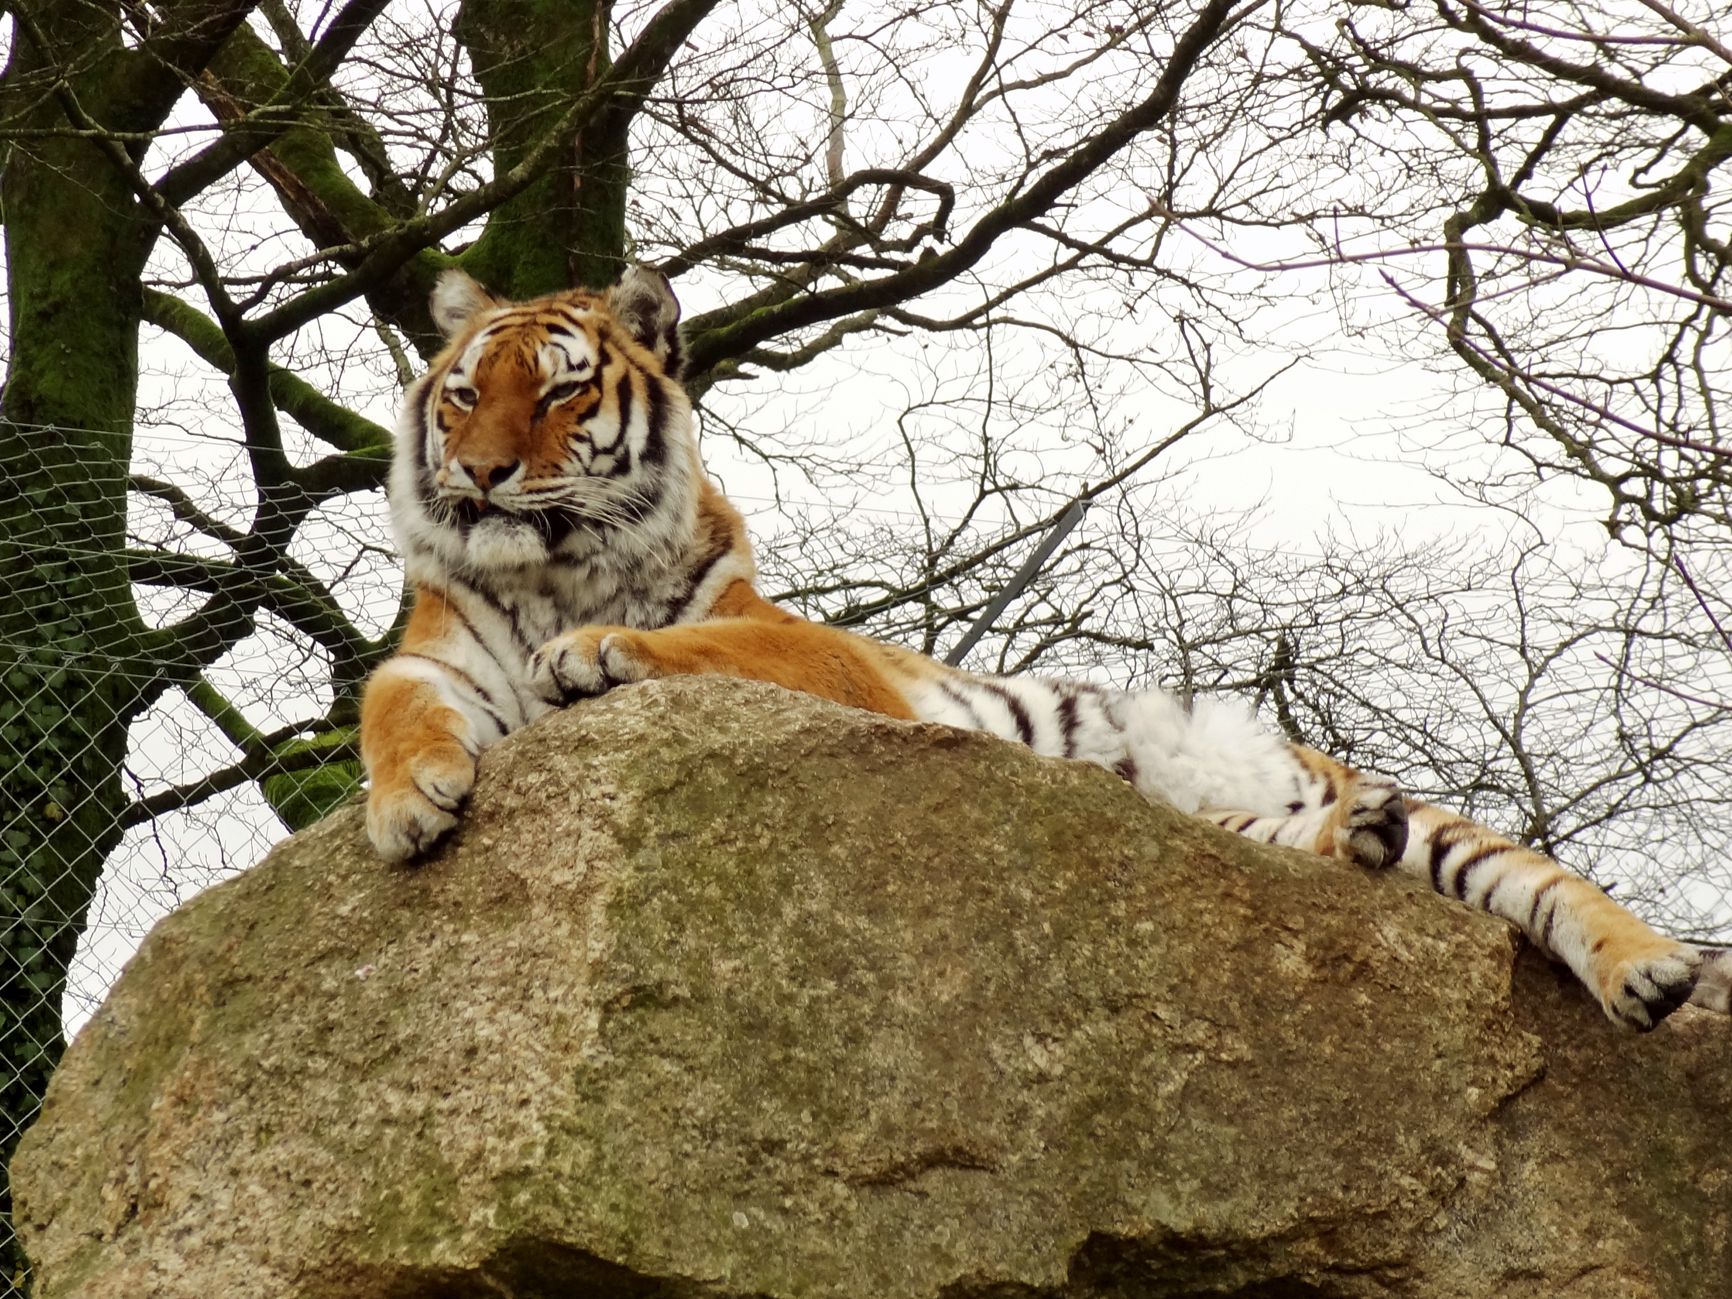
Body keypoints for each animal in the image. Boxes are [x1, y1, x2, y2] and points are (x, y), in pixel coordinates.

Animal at [361, 266, 1732, 1039]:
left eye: (557, 393)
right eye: (462, 392)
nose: (480, 476)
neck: (557, 568)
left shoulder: (803, 648)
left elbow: (703, 643)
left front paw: (599, 653)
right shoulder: (436, 657)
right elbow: (393, 704)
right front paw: (408, 804)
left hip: (1391, 808)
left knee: (1537, 881)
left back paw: (1652, 976)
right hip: (1222, 823)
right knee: (1310, 862)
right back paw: (1358, 843)